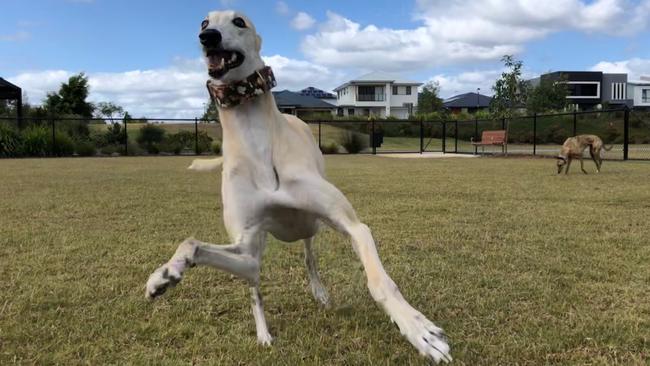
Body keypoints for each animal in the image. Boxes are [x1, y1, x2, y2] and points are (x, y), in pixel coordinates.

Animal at [146, 10, 450, 364]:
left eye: (239, 21)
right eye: (204, 23)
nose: (208, 38)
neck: (257, 145)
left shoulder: (354, 226)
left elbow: (379, 282)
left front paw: (420, 331)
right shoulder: (245, 243)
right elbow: (192, 244)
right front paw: (164, 275)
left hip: (311, 223)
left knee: (308, 255)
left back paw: (319, 291)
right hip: (258, 248)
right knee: (254, 280)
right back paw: (263, 333)